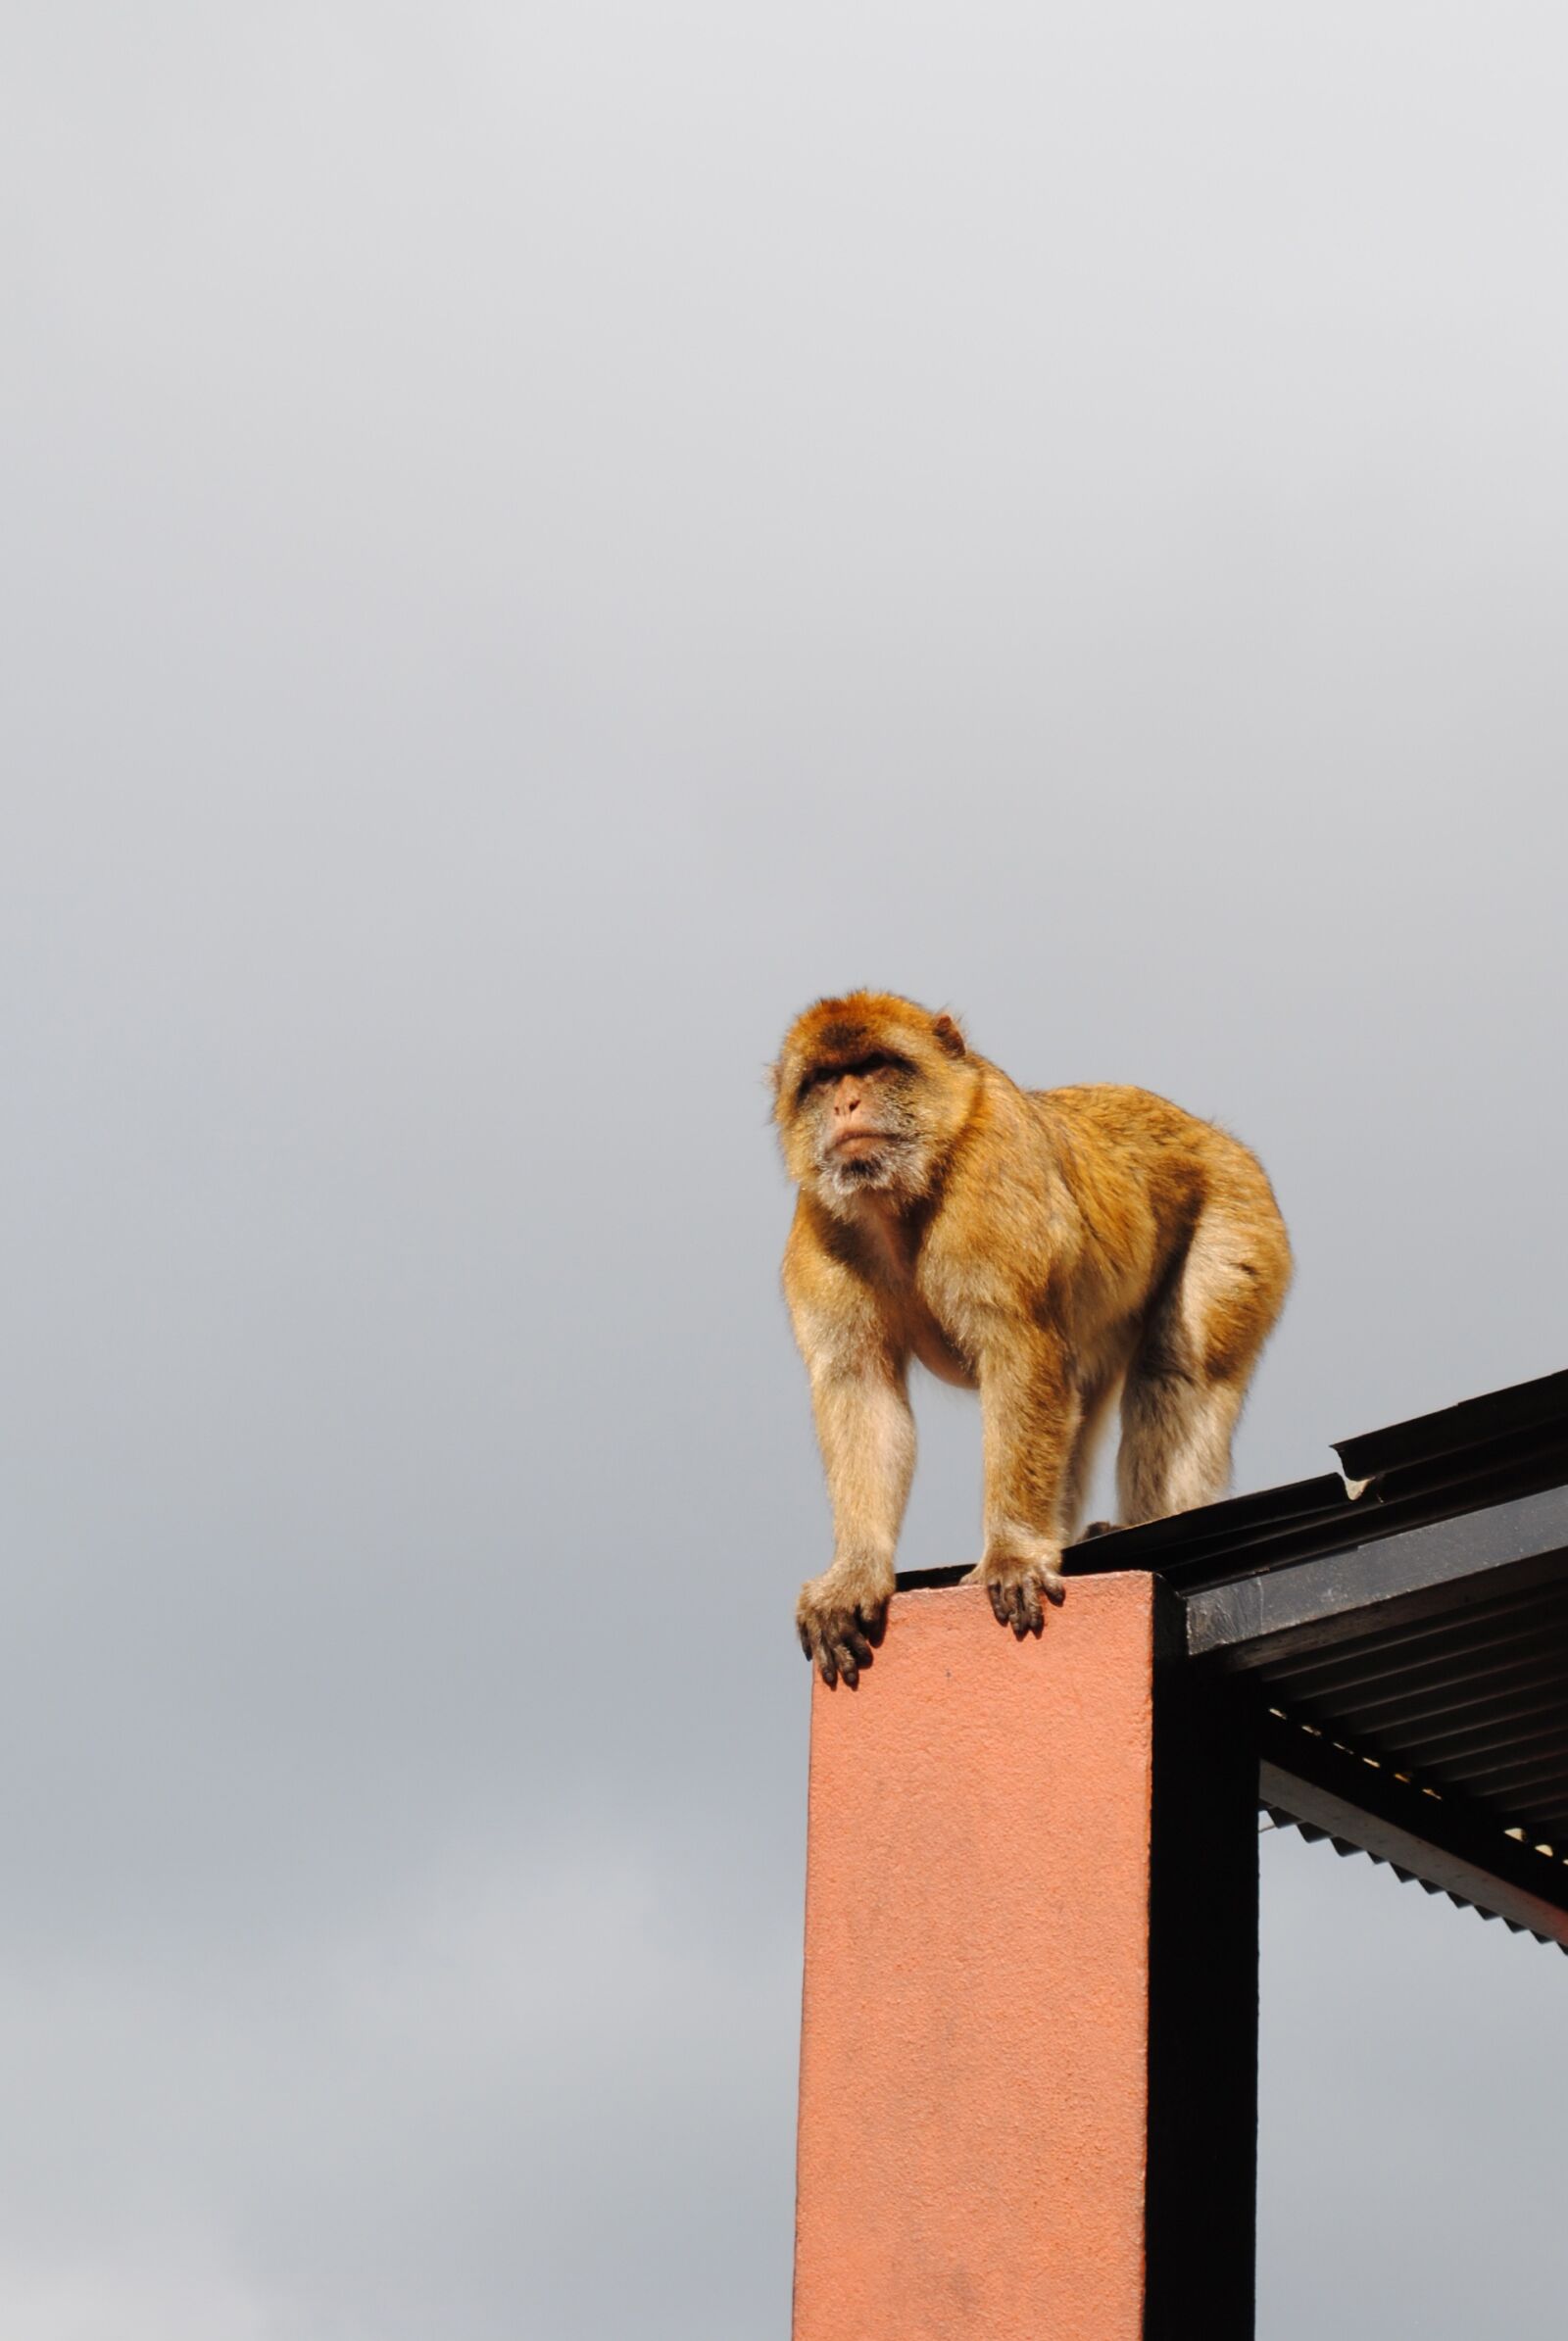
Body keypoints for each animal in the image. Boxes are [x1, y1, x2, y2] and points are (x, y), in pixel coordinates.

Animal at [773, 992, 1292, 1686]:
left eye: (875, 1066)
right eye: (825, 1079)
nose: (845, 1105)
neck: (901, 1200)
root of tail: (1219, 1139)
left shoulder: (992, 1191)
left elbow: (1019, 1355)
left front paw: (1013, 1554)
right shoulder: (822, 1226)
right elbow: (861, 1391)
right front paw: (853, 1575)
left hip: (1238, 1216)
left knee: (1180, 1372)